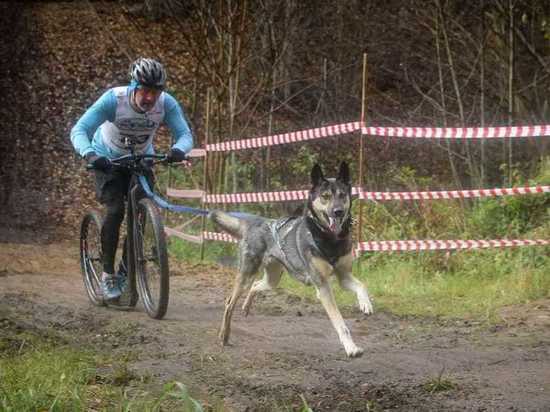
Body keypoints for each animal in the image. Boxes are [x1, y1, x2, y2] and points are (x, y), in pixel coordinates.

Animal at [210, 161, 376, 358]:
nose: (338, 212)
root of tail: (256, 223)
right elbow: (340, 322)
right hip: (246, 275)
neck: (329, 239)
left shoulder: (344, 276)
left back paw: (246, 307)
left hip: (272, 279)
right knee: (229, 303)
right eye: (325, 196)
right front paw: (351, 347)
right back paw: (224, 335)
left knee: (256, 285)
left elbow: (362, 285)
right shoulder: (323, 286)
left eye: (342, 195)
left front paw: (365, 304)